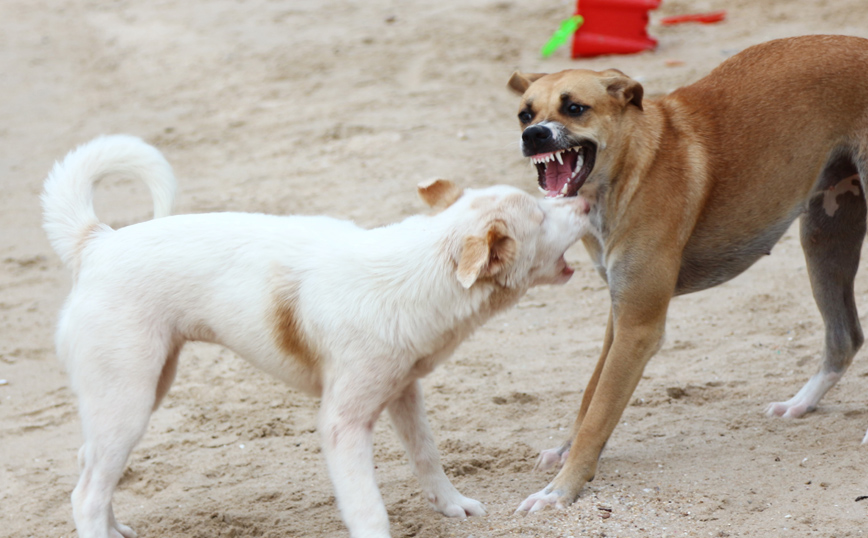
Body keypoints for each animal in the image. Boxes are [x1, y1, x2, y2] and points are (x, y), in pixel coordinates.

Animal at [42, 135, 588, 536]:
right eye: (541, 215)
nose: (584, 203)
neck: (420, 268)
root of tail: (96, 242)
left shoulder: (403, 391)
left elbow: (427, 455)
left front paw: (451, 505)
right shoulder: (342, 425)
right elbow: (368, 509)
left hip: (142, 390)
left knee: (89, 465)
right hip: (129, 400)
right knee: (86, 494)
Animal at [506, 35, 868, 508]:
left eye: (575, 108)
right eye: (525, 113)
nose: (534, 136)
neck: (632, 168)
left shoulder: (638, 329)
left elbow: (598, 411)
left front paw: (560, 489)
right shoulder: (620, 316)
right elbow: (590, 398)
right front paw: (567, 456)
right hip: (824, 237)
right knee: (845, 338)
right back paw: (800, 403)